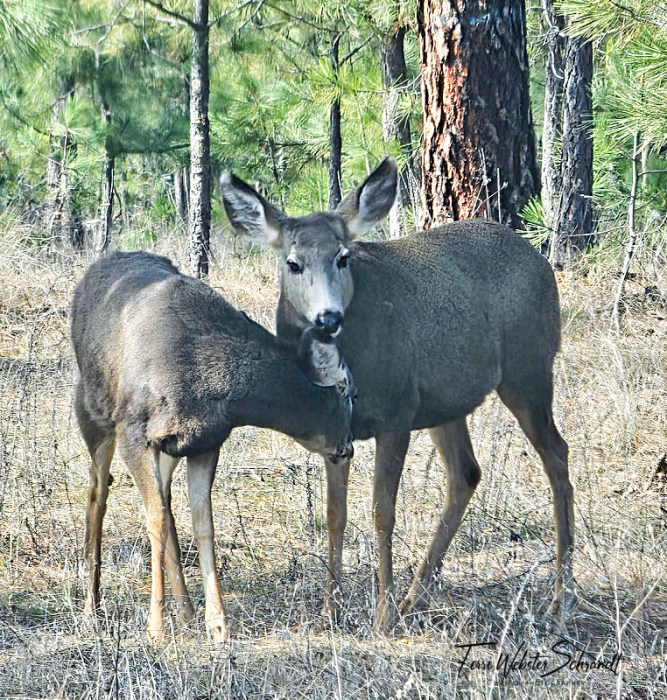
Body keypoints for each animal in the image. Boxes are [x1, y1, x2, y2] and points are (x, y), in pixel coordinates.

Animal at [71, 251, 355, 642]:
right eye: (351, 395)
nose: (348, 448)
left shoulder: (206, 441)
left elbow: (202, 522)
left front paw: (217, 623)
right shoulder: (135, 432)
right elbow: (155, 520)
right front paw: (156, 627)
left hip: (168, 450)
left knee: (166, 504)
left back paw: (187, 611)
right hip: (94, 415)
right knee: (98, 494)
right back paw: (91, 608)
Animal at [221, 158, 575, 631]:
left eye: (343, 257)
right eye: (293, 263)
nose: (328, 317)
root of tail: (537, 256)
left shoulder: (396, 414)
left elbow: (381, 514)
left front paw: (382, 615)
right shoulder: (336, 434)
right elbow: (334, 515)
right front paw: (330, 610)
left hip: (529, 368)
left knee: (556, 453)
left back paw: (560, 596)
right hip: (447, 401)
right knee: (467, 472)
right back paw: (415, 597)